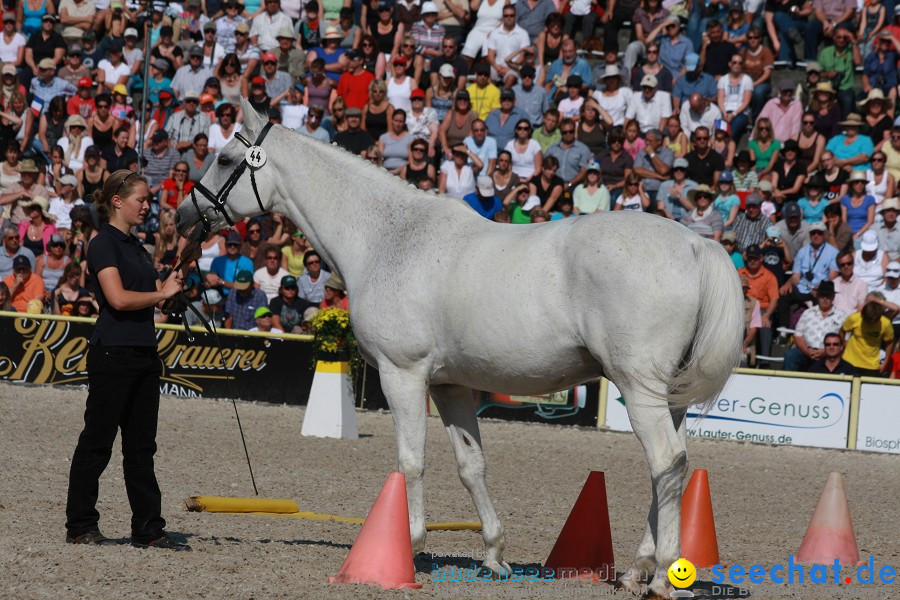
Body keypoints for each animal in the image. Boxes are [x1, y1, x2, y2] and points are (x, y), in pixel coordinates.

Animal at [178, 101, 744, 596]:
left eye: (224, 158)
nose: (185, 214)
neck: (389, 238)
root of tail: (696, 245)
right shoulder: (450, 385)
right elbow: (472, 465)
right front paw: (494, 554)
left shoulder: (402, 374)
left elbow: (410, 461)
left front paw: (406, 544)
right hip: (667, 396)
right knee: (673, 467)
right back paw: (636, 570)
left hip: (639, 386)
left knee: (666, 463)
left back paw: (662, 575)